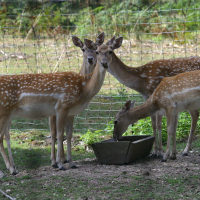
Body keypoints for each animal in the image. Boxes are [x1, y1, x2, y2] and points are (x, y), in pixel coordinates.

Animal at [49, 32, 104, 167]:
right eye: (83, 49)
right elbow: (59, 133)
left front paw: (66, 159)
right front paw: (60, 159)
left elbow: (67, 133)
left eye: (96, 49)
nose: (90, 59)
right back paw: (53, 161)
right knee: (53, 133)